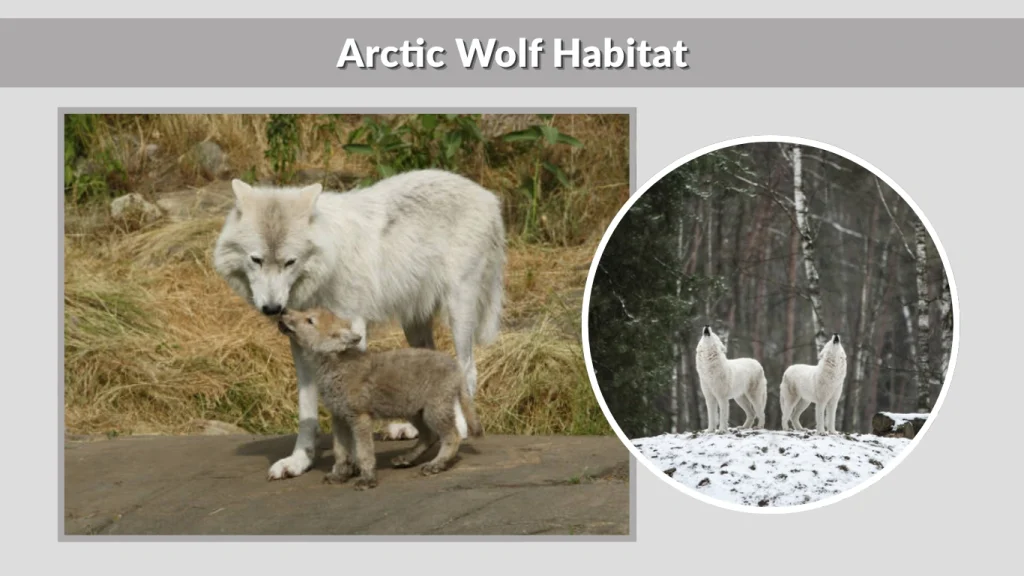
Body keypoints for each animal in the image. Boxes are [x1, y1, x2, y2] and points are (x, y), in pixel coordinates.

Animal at [277, 307, 483, 489]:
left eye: (309, 320)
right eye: (304, 313)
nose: (283, 311)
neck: (333, 368)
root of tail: (456, 366)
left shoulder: (360, 419)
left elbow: (364, 453)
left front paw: (367, 479)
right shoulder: (339, 419)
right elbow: (340, 452)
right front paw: (339, 475)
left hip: (433, 412)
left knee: (452, 437)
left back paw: (436, 465)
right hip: (412, 411)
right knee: (429, 436)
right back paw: (407, 458)